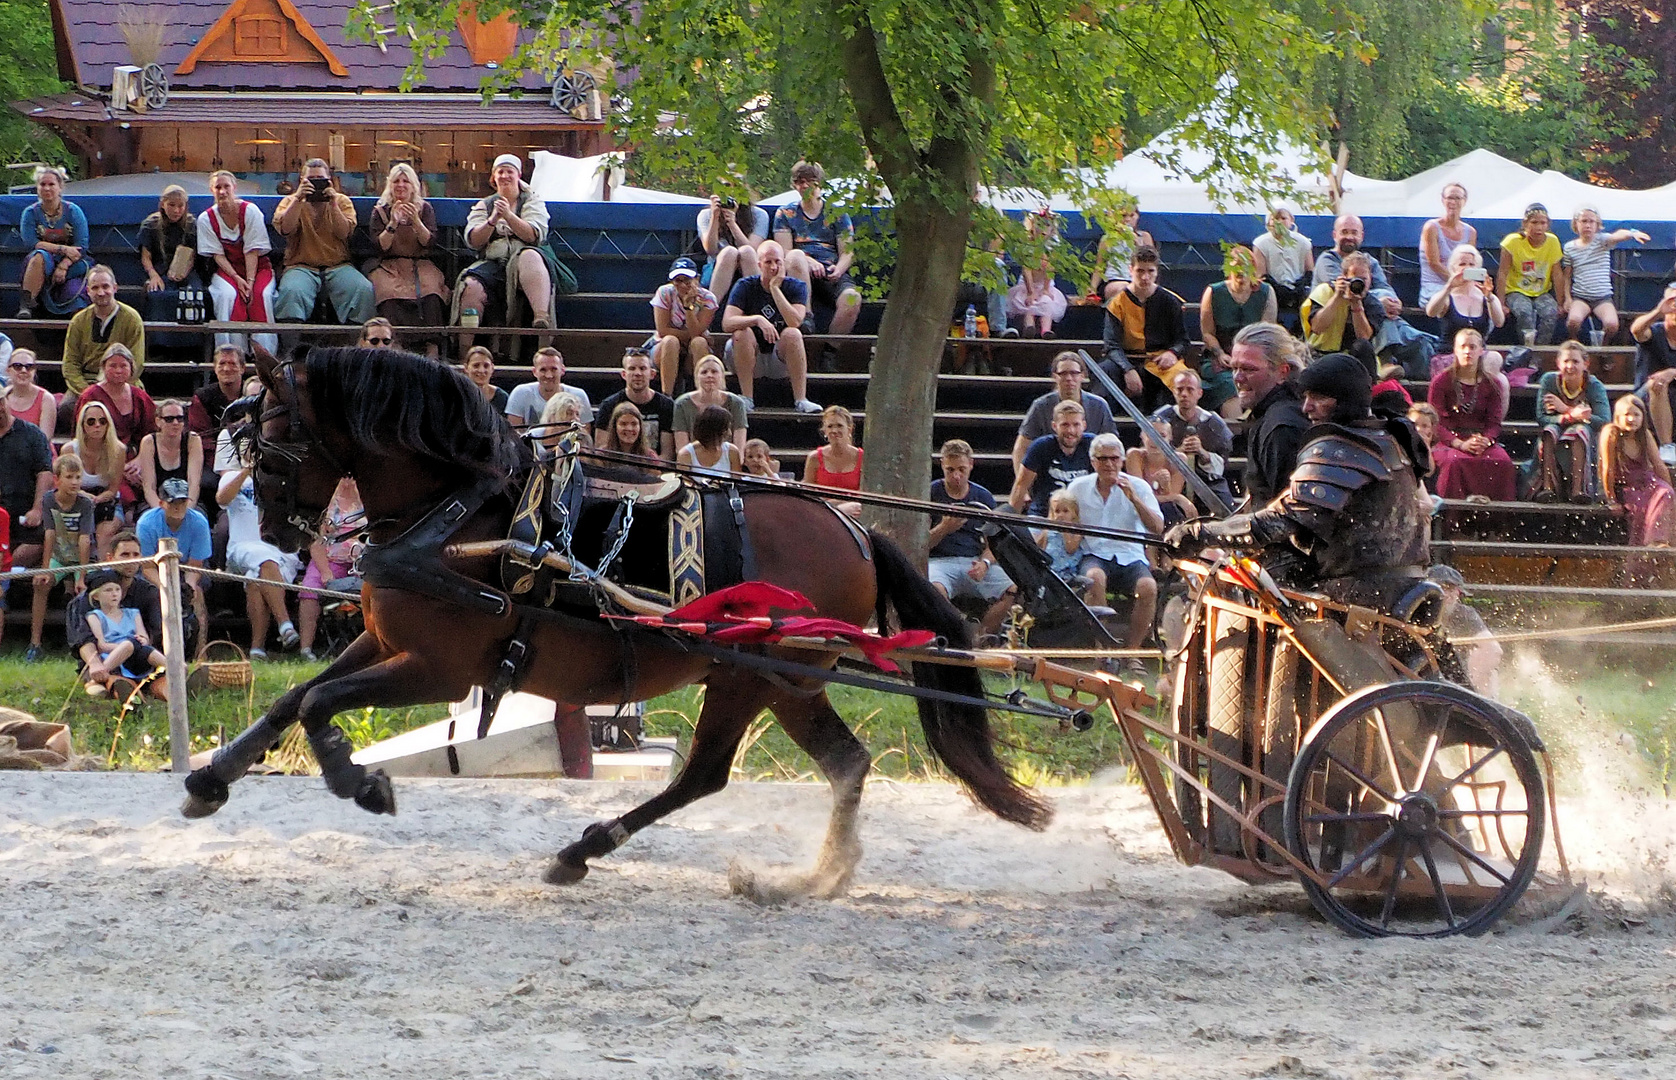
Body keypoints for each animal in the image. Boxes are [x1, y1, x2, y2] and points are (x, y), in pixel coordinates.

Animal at [183, 348, 1045, 905]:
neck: (460, 512)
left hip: (754, 674)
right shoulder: (387, 642)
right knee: (841, 764)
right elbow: (292, 702)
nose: (280, 527)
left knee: (709, 775)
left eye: (270, 447)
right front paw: (209, 779)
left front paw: (359, 781)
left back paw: (585, 849)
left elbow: (320, 705)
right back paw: (809, 878)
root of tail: (857, 530)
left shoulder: (439, 665)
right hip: (783, 679)